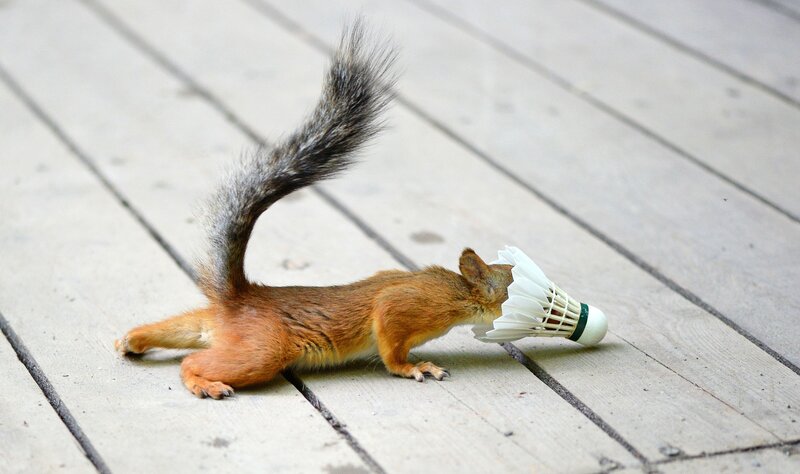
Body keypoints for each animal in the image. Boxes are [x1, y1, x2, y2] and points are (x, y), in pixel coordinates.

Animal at [115, 21, 513, 399]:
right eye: (513, 282)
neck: (458, 291)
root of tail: (241, 297)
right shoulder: (406, 306)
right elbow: (390, 343)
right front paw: (414, 367)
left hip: (215, 327)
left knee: (183, 327)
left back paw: (132, 340)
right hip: (262, 349)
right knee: (193, 360)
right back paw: (203, 383)